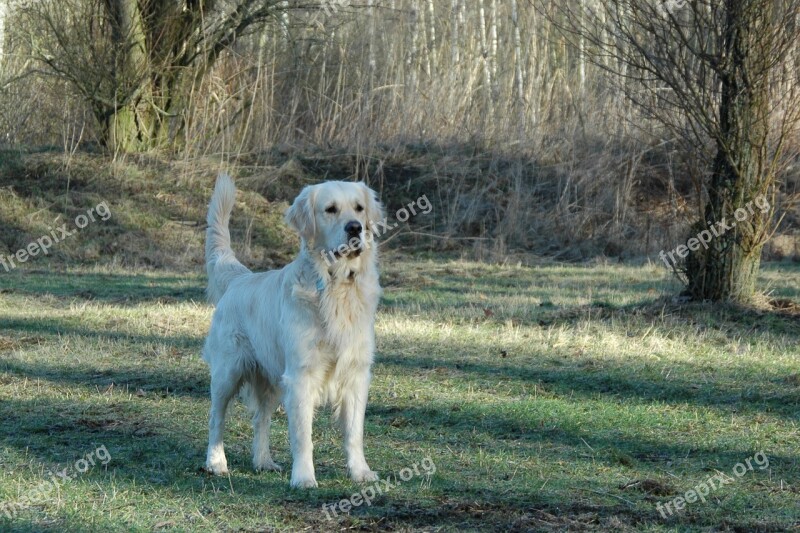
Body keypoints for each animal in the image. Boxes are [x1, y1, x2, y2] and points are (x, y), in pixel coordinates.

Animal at [203, 174, 384, 486]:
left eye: (359, 208)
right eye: (330, 209)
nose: (355, 228)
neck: (336, 285)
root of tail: (240, 279)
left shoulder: (356, 374)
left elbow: (354, 432)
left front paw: (360, 472)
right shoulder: (301, 376)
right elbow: (302, 436)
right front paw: (303, 477)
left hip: (272, 379)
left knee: (260, 419)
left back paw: (263, 461)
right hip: (229, 371)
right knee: (217, 417)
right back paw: (216, 462)